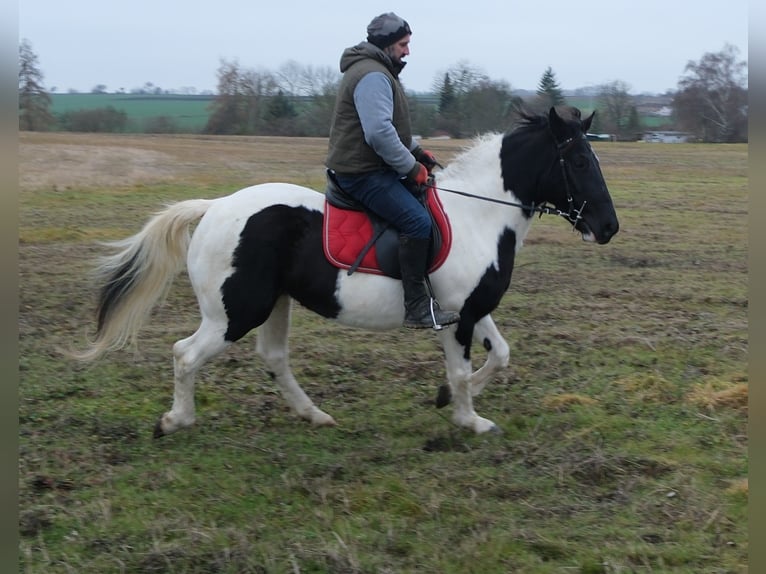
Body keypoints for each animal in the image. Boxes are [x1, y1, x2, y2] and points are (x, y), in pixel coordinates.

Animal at [75, 106, 618, 437]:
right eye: (577, 159)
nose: (608, 227)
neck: (477, 215)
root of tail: (214, 208)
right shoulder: (455, 320)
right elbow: (463, 370)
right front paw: (470, 419)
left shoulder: (470, 310)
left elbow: (500, 356)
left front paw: (448, 400)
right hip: (235, 313)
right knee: (185, 354)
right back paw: (175, 421)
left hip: (273, 304)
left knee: (273, 357)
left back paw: (314, 414)